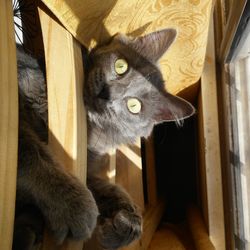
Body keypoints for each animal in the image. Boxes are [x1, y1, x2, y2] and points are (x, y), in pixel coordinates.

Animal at [14, 28, 195, 249]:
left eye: (134, 106)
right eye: (121, 66)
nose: (106, 93)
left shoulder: (85, 166)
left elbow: (106, 187)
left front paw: (128, 223)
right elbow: (33, 155)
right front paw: (74, 207)